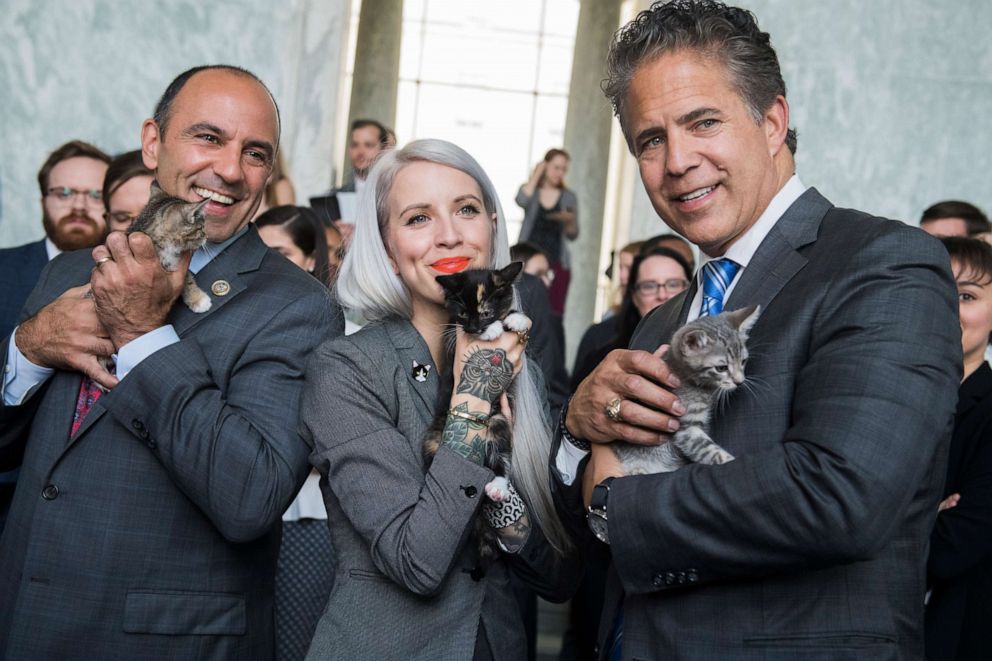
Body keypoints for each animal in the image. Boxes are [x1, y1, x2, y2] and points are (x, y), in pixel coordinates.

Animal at [422, 260, 532, 560]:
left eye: (485, 312)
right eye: (462, 313)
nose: (473, 328)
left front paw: (516, 319)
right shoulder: (451, 340)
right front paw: (493, 330)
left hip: (499, 422)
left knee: (500, 458)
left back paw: (497, 487)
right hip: (434, 439)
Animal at [620, 304, 760, 474]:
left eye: (744, 361)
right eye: (721, 368)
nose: (740, 382)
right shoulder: (685, 429)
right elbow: (707, 450)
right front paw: (730, 461)